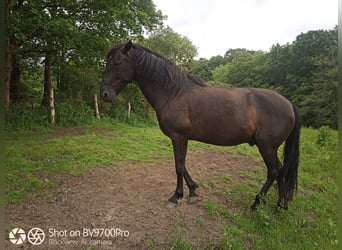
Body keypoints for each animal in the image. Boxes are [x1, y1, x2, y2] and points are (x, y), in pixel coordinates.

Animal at [100, 40, 300, 209]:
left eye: (117, 62)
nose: (104, 95)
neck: (173, 92)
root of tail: (289, 104)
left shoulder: (177, 136)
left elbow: (178, 165)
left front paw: (176, 197)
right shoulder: (184, 138)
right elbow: (183, 164)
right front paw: (193, 191)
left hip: (266, 146)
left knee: (274, 171)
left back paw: (257, 203)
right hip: (270, 148)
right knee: (281, 171)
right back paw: (280, 206)